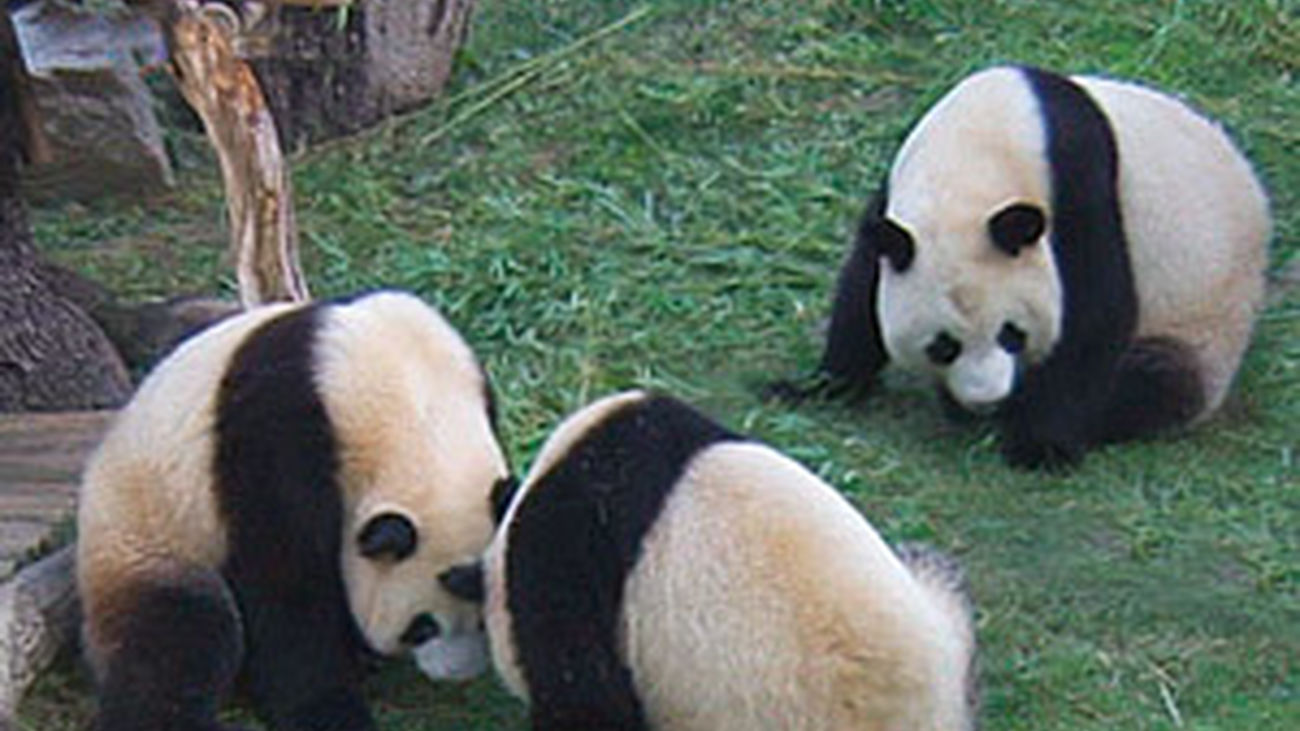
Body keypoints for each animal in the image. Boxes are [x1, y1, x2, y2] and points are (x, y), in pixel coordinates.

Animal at [75, 290, 512, 731]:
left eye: (482, 617)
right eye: (421, 627)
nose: (456, 674)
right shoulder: (276, 438)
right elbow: (285, 584)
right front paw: (330, 710)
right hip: (148, 542)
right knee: (183, 635)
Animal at [791, 65, 1271, 469]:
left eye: (1012, 332)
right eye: (942, 346)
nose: (988, 398)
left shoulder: (1079, 182)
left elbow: (1095, 310)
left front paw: (1040, 444)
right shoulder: (894, 200)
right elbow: (862, 285)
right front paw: (819, 386)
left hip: (1204, 326)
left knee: (1155, 384)